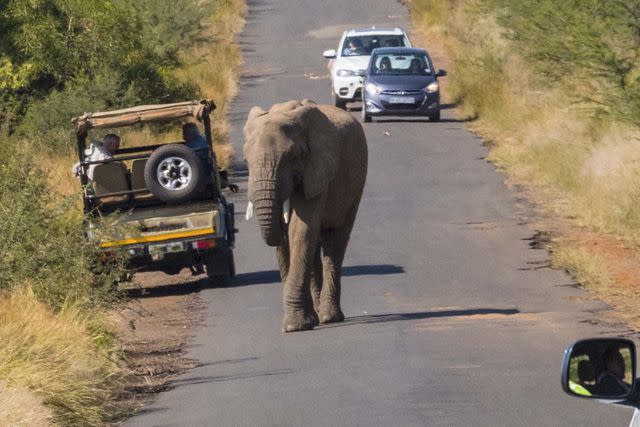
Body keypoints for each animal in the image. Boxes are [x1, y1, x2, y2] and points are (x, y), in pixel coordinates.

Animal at [242, 100, 368, 334]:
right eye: (245, 160)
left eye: (292, 157)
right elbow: (291, 237)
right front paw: (302, 322)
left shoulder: (317, 170)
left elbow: (300, 230)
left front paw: (294, 327)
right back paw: (317, 316)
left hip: (355, 183)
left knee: (335, 243)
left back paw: (329, 317)